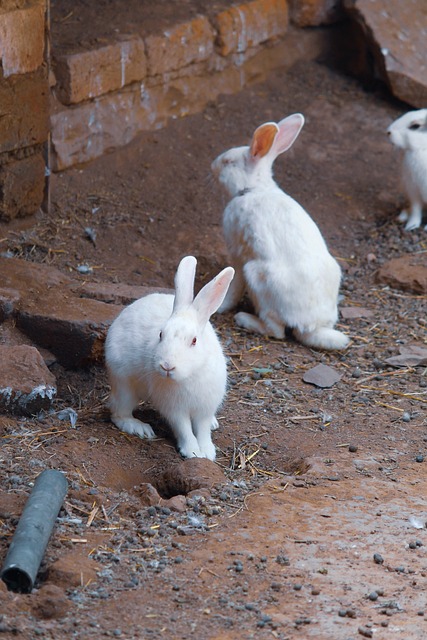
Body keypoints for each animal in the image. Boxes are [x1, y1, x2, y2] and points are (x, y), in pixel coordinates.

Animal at [105, 255, 236, 460]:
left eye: (194, 340)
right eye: (160, 334)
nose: (167, 366)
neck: (190, 375)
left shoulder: (205, 407)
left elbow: (203, 429)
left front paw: (207, 451)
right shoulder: (175, 409)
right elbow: (184, 429)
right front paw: (193, 452)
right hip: (124, 384)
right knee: (119, 413)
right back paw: (140, 428)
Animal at [211, 110, 352, 350]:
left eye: (228, 161)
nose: (213, 165)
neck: (255, 188)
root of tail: (310, 326)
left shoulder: (238, 255)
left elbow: (234, 284)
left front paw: (222, 307)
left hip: (256, 277)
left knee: (276, 331)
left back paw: (244, 319)